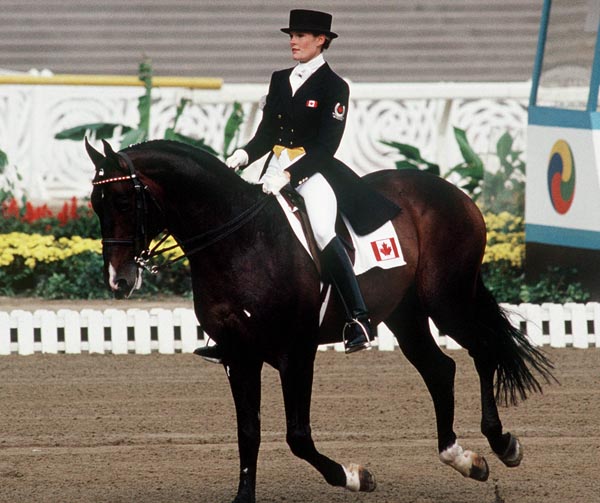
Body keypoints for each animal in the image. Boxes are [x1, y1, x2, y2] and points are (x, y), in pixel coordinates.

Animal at [84, 139, 552, 503]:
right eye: (95, 204)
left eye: (124, 201)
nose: (119, 280)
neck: (239, 241)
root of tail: (455, 192)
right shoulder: (239, 356)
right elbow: (248, 431)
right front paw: (244, 497)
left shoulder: (295, 353)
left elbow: (297, 437)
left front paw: (356, 476)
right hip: (407, 314)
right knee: (440, 369)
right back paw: (463, 459)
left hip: (448, 300)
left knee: (484, 349)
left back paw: (503, 443)